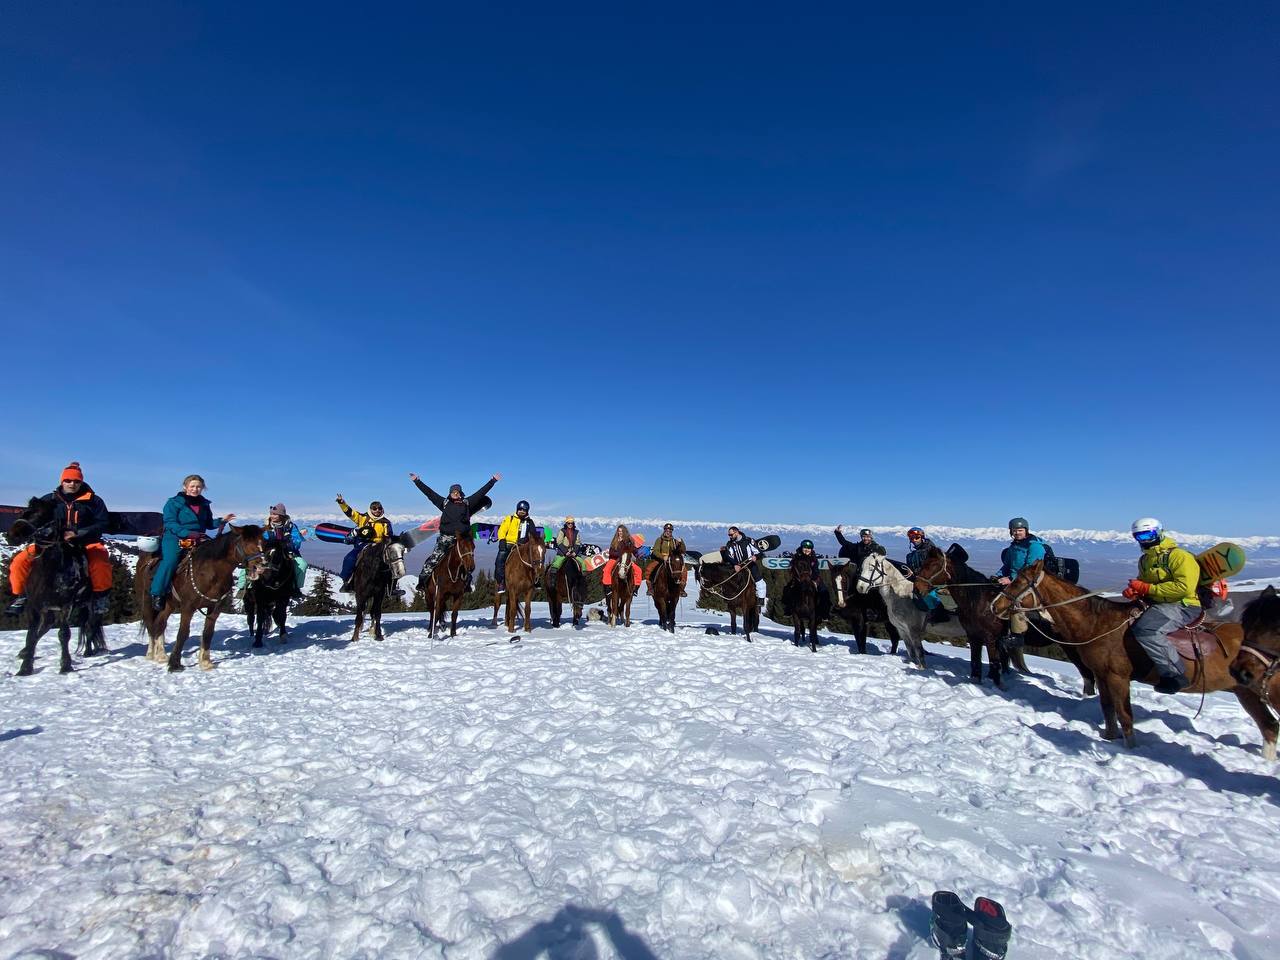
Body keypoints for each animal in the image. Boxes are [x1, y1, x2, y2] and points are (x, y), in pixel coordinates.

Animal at [135, 526, 266, 672]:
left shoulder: (214, 609)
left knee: (160, 623)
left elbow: (208, 633)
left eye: (263, 542)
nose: (261, 566)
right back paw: (151, 653)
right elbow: (183, 633)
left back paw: (161, 655)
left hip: (169, 605)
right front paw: (174, 664)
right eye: (246, 543)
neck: (210, 572)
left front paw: (205, 662)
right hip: (146, 601)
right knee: (150, 624)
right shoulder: (188, 607)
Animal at [912, 544, 1061, 691]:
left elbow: (994, 664)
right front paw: (976, 682)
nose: (917, 589)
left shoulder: (991, 638)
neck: (981, 603)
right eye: (923, 564)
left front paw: (998, 686)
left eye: (933, 565)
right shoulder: (973, 636)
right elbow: (975, 662)